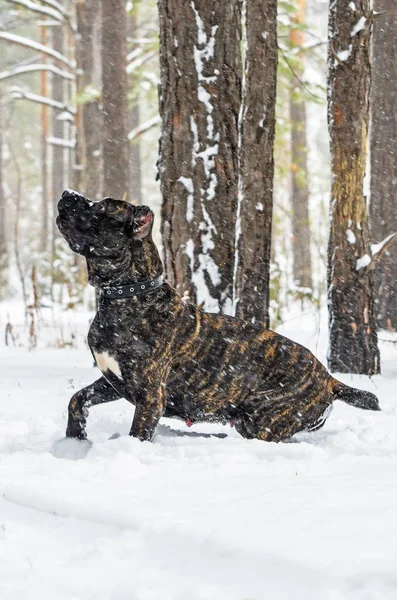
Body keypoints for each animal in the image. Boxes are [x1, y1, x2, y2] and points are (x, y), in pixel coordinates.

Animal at [56, 190, 380, 442]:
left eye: (102, 207)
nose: (66, 193)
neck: (127, 296)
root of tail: (329, 380)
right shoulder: (113, 380)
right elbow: (77, 400)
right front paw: (75, 438)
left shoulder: (149, 396)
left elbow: (137, 434)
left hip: (263, 417)